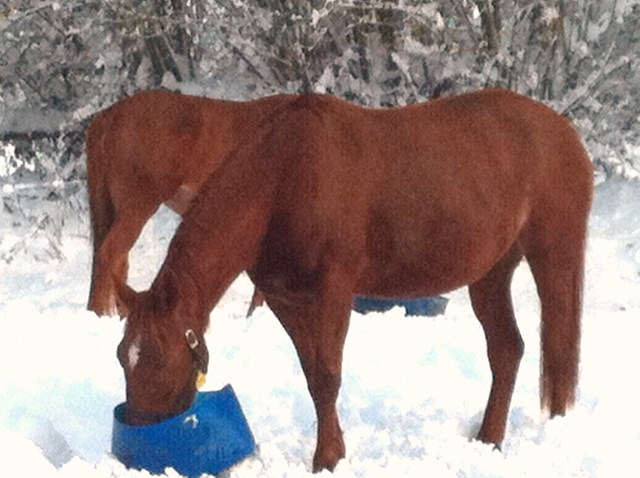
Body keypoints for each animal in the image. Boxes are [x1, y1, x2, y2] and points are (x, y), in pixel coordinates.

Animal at [112, 89, 592, 470]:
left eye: (158, 357)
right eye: (121, 356)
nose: (138, 429)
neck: (286, 179)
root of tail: (565, 132)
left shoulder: (335, 291)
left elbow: (328, 376)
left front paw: (327, 459)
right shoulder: (285, 298)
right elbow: (312, 376)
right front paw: (334, 450)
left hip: (555, 256)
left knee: (558, 342)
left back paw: (557, 424)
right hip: (490, 274)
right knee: (507, 349)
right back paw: (489, 438)